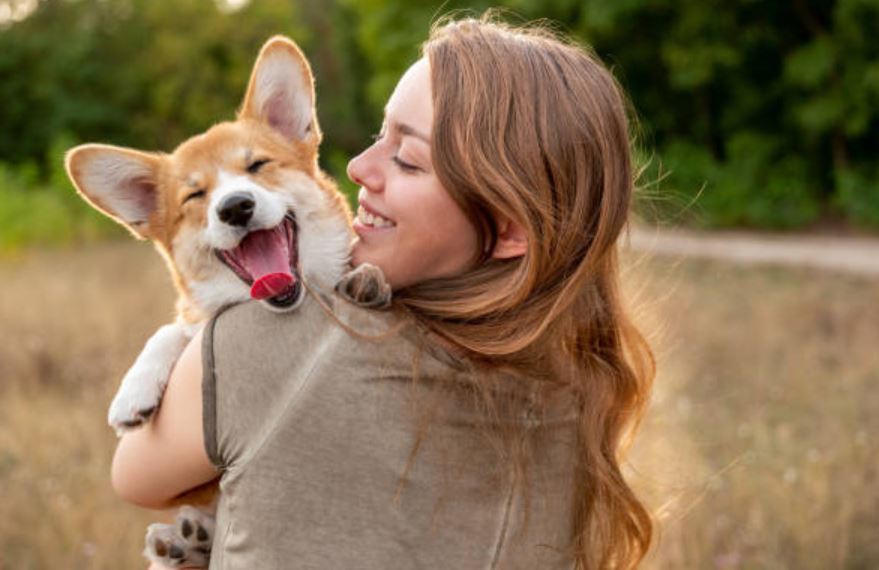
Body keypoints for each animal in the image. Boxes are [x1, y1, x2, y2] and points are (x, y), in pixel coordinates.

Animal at [65, 37, 388, 564]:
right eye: (195, 196)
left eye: (257, 166)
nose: (235, 207)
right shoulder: (194, 320)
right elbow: (171, 329)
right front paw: (133, 392)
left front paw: (367, 279)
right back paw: (181, 540)